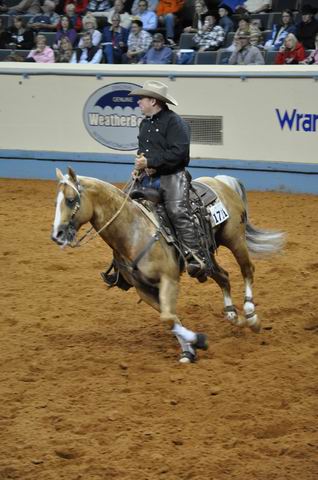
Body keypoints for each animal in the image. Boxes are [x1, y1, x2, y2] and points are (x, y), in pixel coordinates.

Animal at [52, 169, 286, 364]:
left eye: (71, 200)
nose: (57, 235)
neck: (133, 231)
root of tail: (220, 180)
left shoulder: (169, 279)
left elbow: (167, 316)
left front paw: (198, 341)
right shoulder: (143, 289)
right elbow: (170, 319)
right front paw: (189, 350)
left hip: (235, 239)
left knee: (247, 270)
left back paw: (251, 315)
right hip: (205, 257)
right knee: (224, 276)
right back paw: (232, 315)